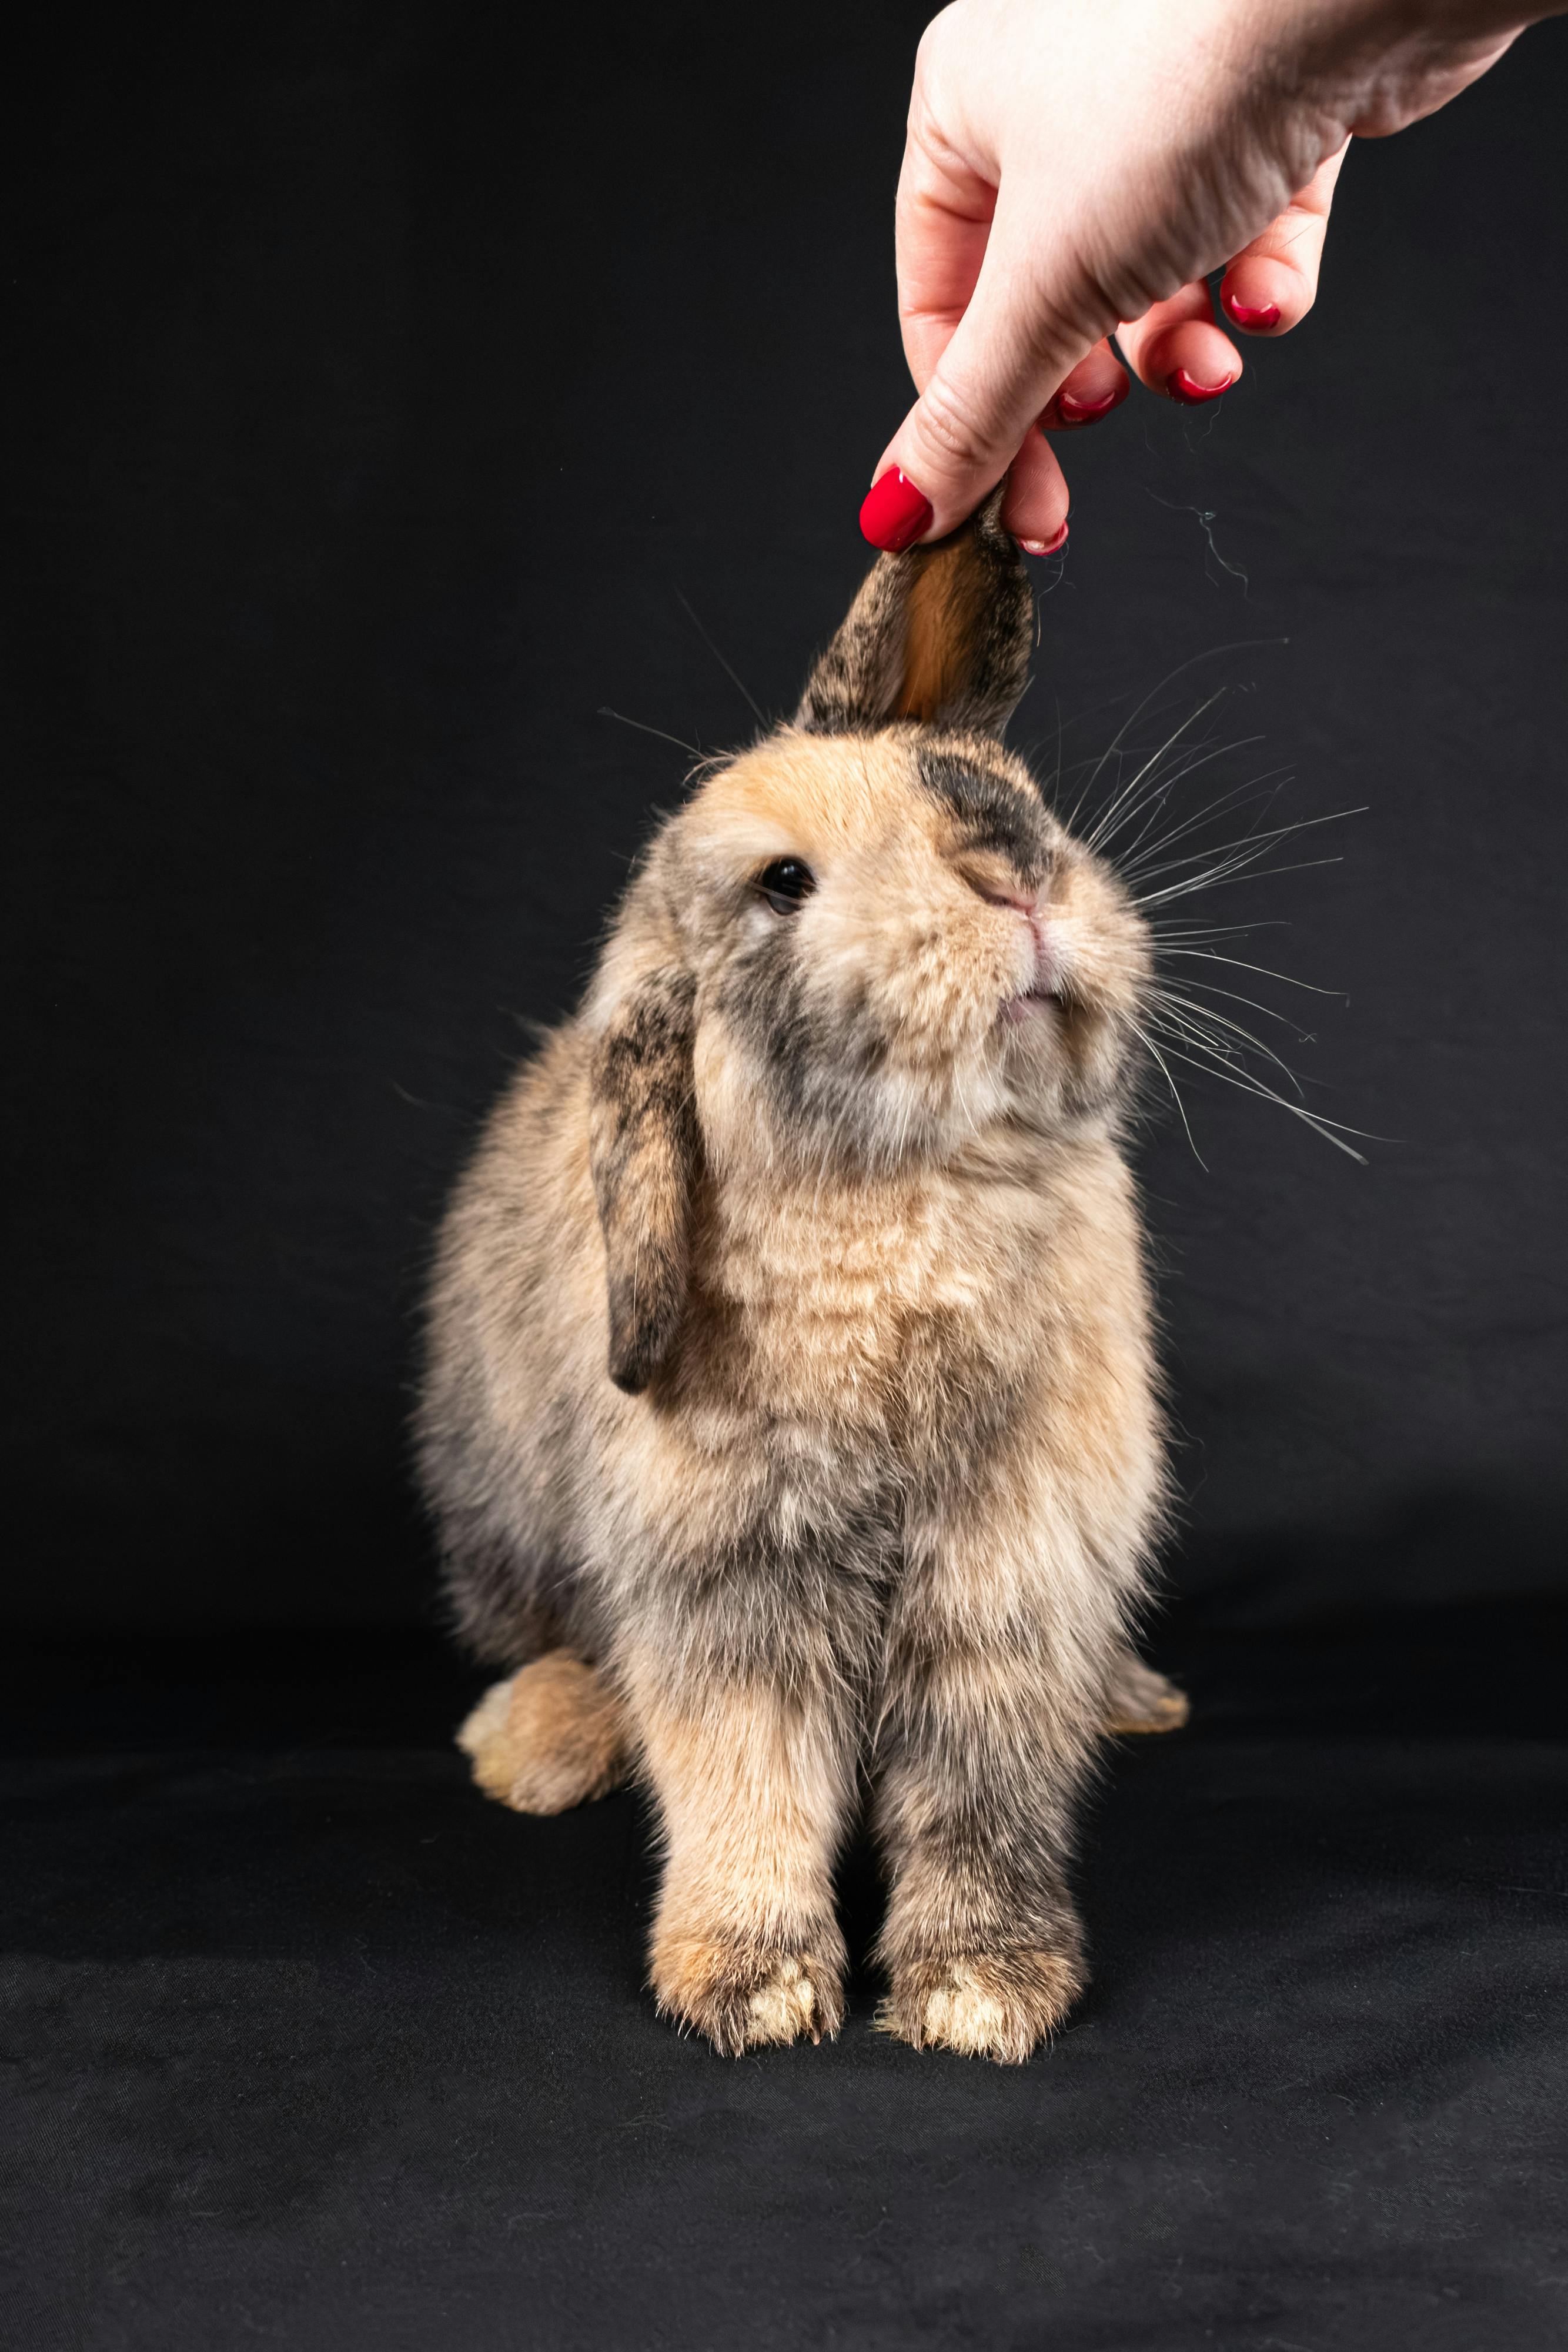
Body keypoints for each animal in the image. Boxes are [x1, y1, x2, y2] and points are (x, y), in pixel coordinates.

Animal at [411, 510, 1185, 2060]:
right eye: (784, 883)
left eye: (1004, 788)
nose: (1016, 874)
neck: (915, 1184)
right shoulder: (731, 1573)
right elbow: (747, 1777)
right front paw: (751, 1985)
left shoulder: (1012, 1567)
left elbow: (983, 1787)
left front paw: (980, 1988)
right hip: (504, 1527)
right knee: (562, 1647)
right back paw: (533, 1748)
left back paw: (1134, 1699)